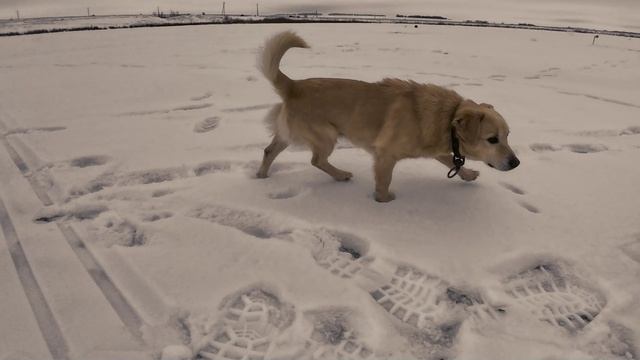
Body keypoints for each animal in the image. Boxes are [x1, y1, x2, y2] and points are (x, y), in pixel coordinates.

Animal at [256, 30, 520, 202]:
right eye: (492, 139)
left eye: (508, 135)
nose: (516, 163)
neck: (447, 118)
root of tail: (293, 85)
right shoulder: (385, 154)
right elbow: (384, 181)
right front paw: (385, 201)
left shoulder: (436, 149)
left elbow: (450, 160)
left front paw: (467, 174)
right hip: (326, 135)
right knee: (317, 160)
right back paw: (341, 175)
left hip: (289, 134)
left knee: (269, 150)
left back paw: (261, 175)